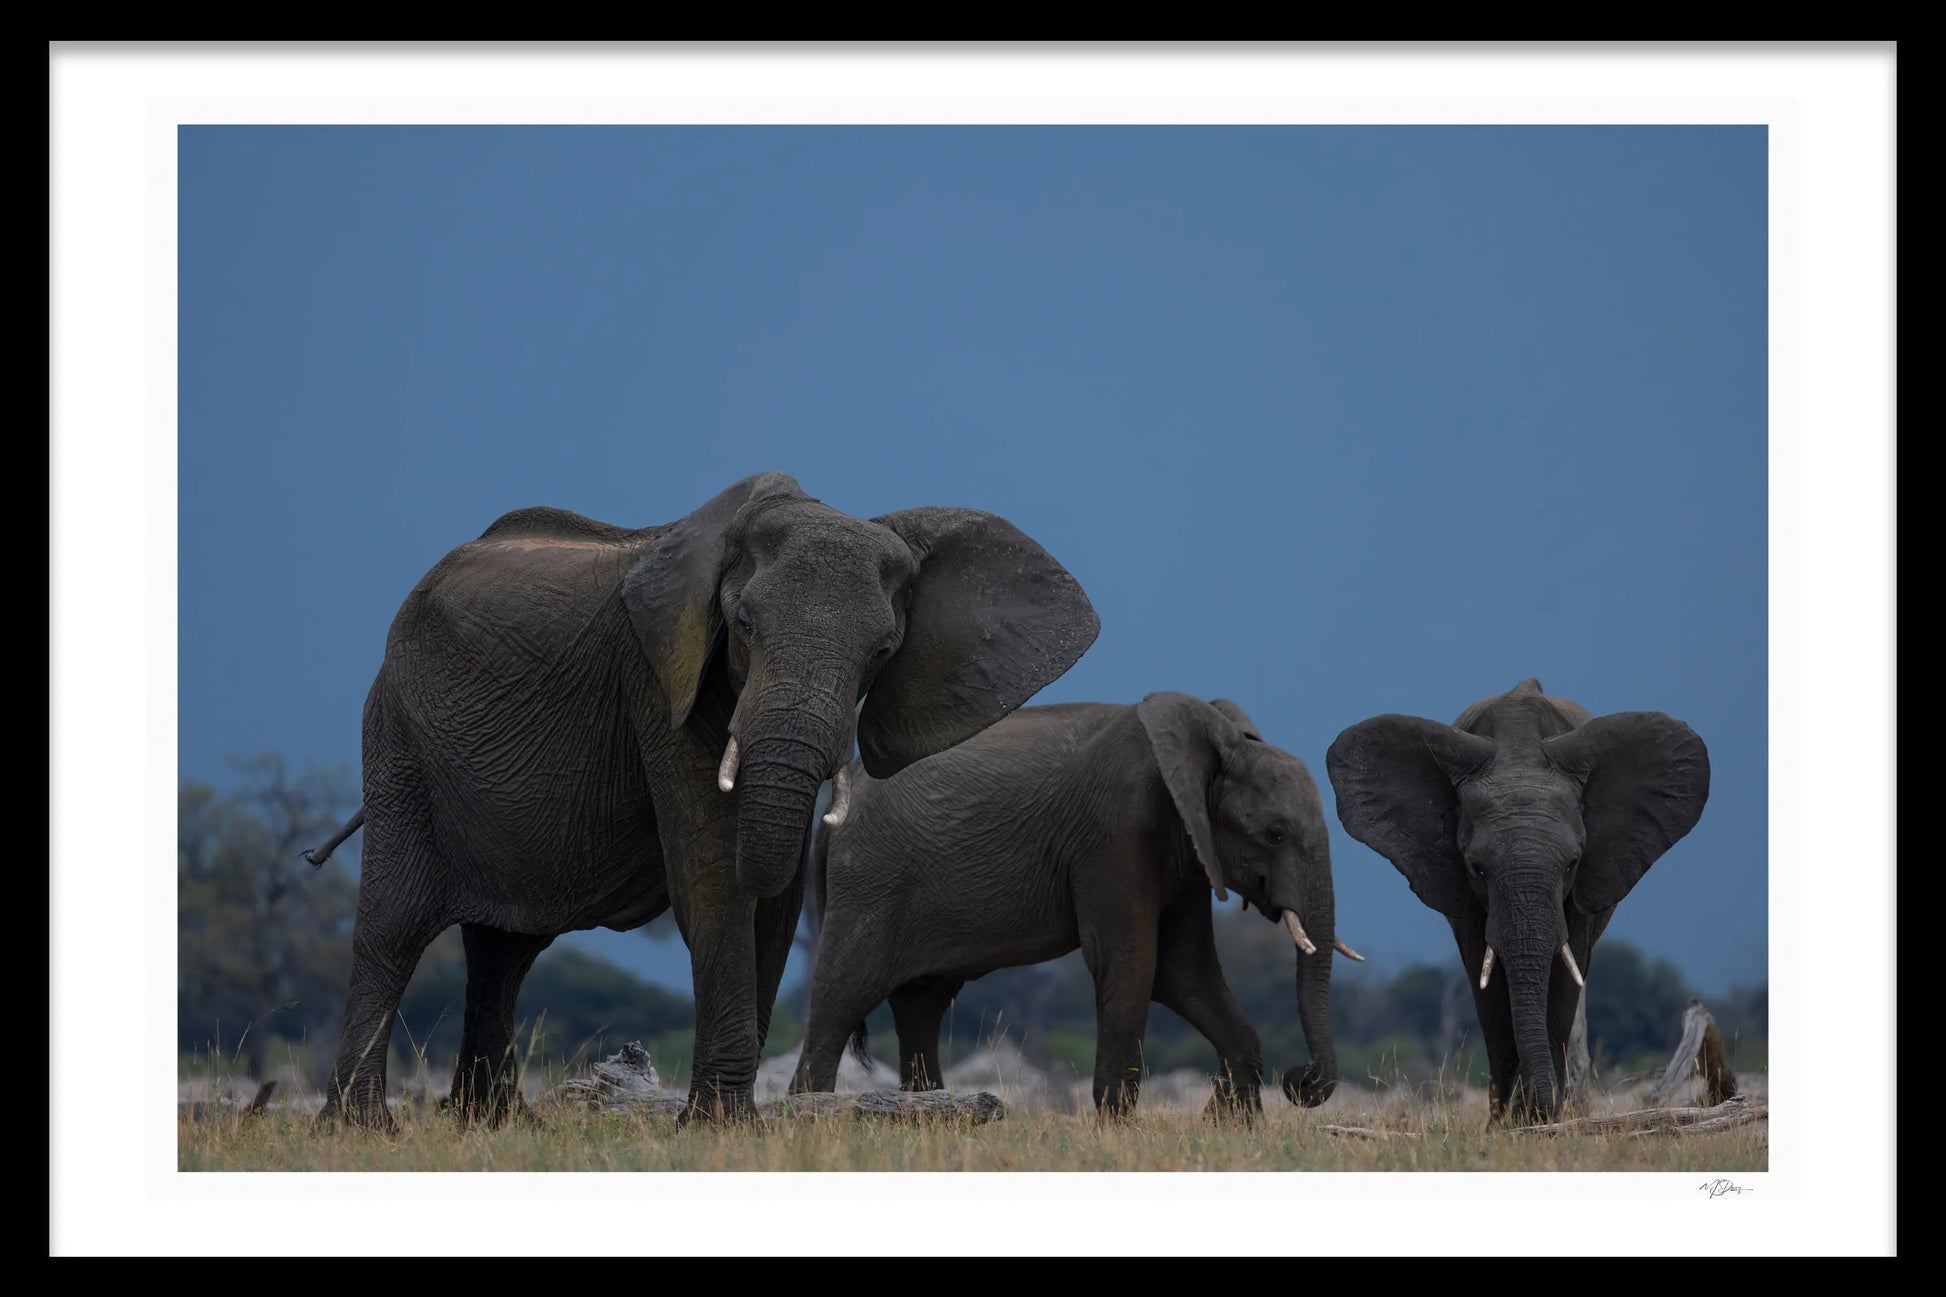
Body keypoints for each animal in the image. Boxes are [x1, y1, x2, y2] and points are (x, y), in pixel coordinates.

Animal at [782, 693, 1362, 1113]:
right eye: (1275, 834)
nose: (1301, 1080)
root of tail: (834, 807)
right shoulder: (1116, 834)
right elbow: (1133, 966)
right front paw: (1118, 1133)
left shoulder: (1189, 853)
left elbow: (1183, 973)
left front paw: (1230, 1128)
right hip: (871, 884)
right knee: (841, 999)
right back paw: (808, 1115)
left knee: (920, 1006)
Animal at [1323, 677, 1704, 1121]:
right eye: (1477, 868)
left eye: (1572, 863)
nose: (1533, 1105)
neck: (1519, 748)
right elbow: (1483, 977)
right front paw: (1506, 1121)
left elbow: (1567, 970)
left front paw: (1539, 1119)